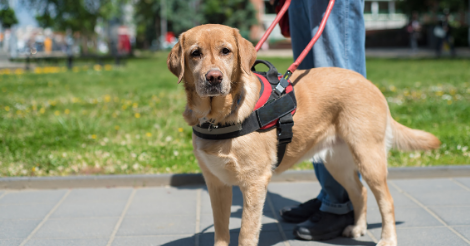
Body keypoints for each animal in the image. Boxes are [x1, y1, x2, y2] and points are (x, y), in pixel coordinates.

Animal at [168, 23, 440, 246]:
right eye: (195, 53)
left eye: (226, 51)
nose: (213, 78)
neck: (217, 118)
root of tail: (370, 83)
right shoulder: (216, 184)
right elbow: (221, 233)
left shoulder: (254, 182)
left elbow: (246, 232)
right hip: (337, 163)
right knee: (359, 191)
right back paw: (358, 227)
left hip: (368, 157)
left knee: (386, 201)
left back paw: (387, 239)